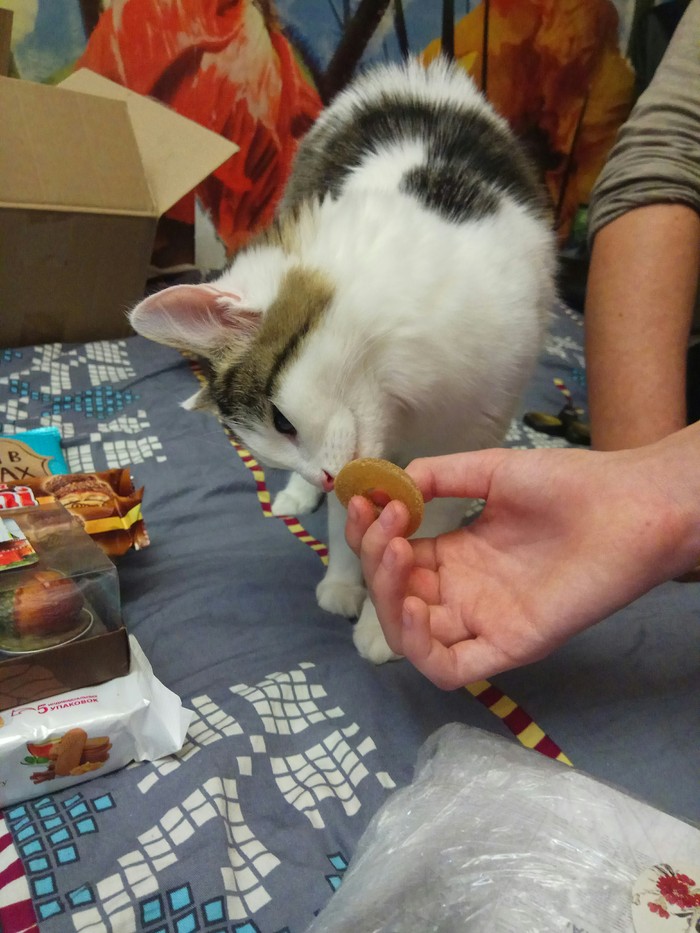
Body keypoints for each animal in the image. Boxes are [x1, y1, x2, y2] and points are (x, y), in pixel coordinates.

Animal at [129, 57, 556, 665]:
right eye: (277, 441)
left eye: (283, 421)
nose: (325, 478)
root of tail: (416, 76)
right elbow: (342, 525)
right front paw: (344, 580)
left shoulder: (467, 437)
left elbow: (426, 535)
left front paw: (390, 621)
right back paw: (297, 498)